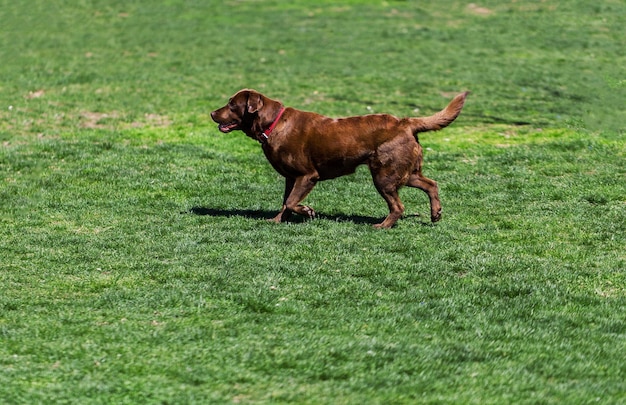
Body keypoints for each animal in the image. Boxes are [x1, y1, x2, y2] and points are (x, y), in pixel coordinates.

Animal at [212, 88, 466, 227]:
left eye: (232, 105)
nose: (212, 113)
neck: (272, 124)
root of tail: (405, 122)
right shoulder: (290, 178)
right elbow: (285, 202)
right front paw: (276, 221)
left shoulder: (307, 175)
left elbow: (293, 201)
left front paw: (308, 211)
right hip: (403, 171)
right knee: (430, 183)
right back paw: (436, 214)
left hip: (384, 175)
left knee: (398, 206)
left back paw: (382, 226)